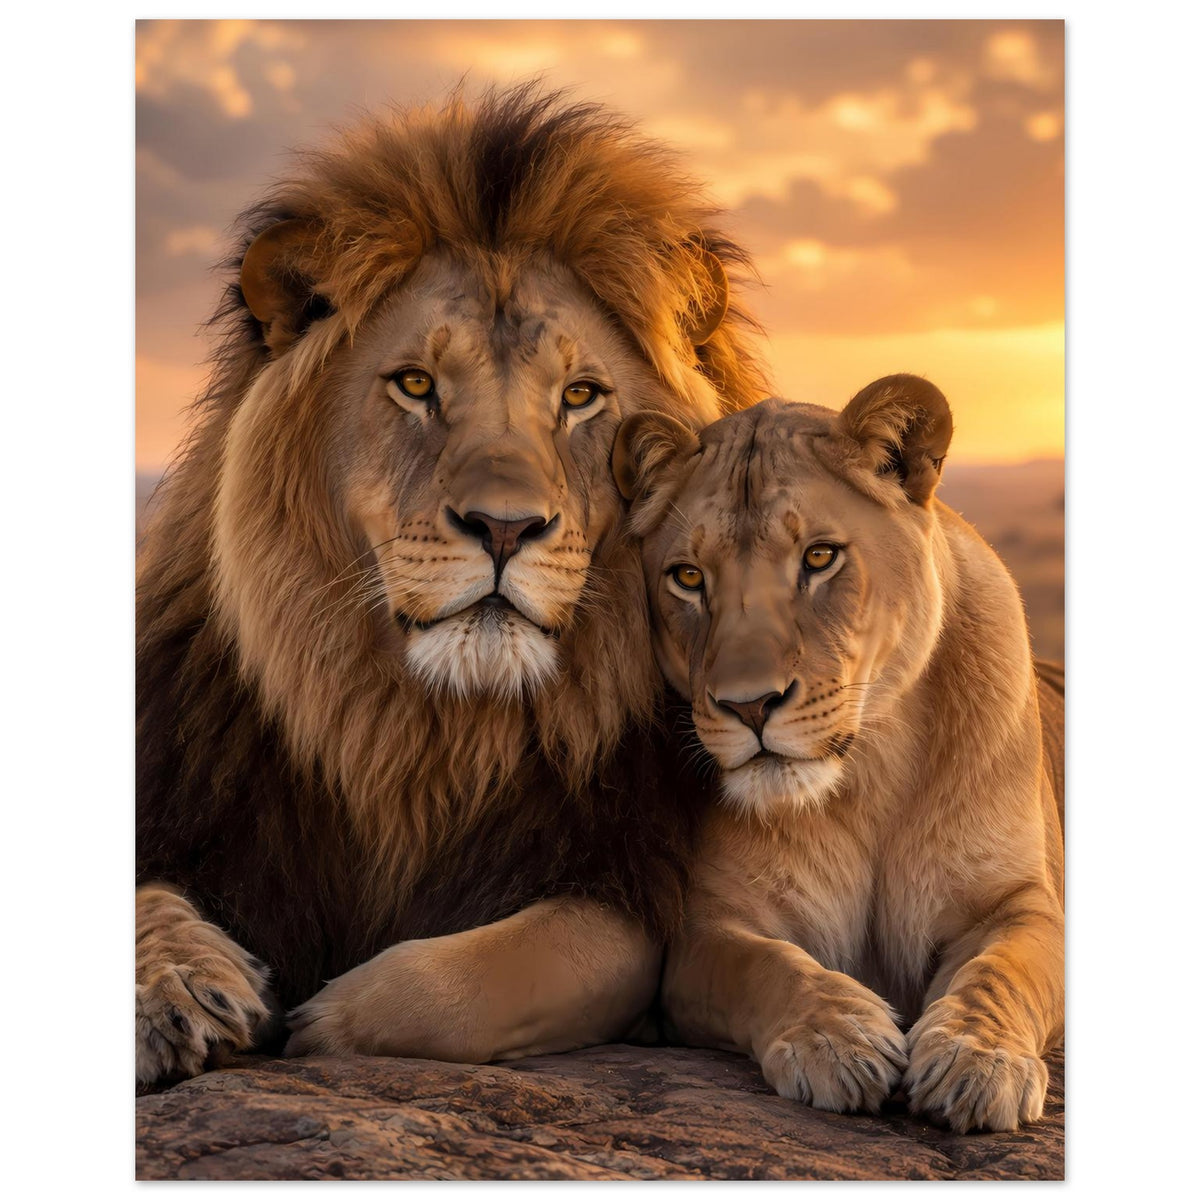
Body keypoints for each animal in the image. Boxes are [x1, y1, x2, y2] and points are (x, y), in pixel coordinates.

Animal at [135, 84, 769, 1089]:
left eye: (581, 397)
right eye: (415, 384)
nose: (505, 528)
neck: (421, 738)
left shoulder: (623, 884)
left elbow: (480, 977)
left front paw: (321, 1018)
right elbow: (143, 903)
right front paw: (181, 991)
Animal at [612, 377, 1064, 1133]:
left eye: (820, 558)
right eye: (688, 577)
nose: (748, 706)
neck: (870, 773)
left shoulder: (1020, 902)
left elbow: (1001, 971)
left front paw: (977, 1058)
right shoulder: (707, 930)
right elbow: (766, 967)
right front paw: (837, 1038)